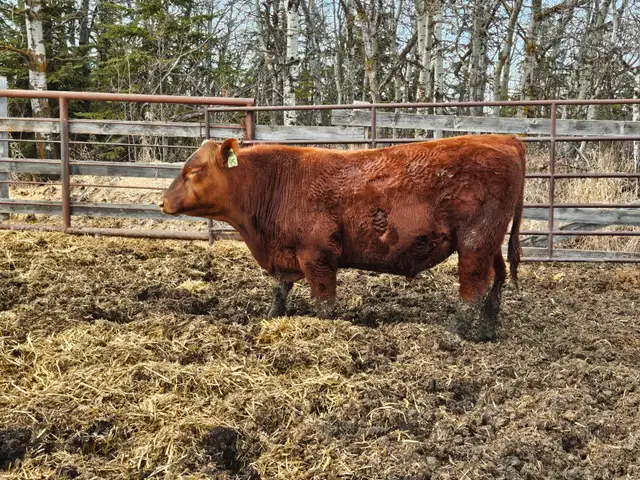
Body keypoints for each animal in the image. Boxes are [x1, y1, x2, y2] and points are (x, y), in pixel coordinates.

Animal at [158, 134, 526, 341]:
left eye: (193, 171)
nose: (161, 202)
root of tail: (505, 138)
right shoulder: (286, 255)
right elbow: (280, 292)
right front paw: (271, 318)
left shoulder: (317, 257)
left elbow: (324, 304)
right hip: (490, 242)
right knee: (497, 280)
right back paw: (487, 332)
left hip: (474, 241)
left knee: (472, 289)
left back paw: (454, 335)